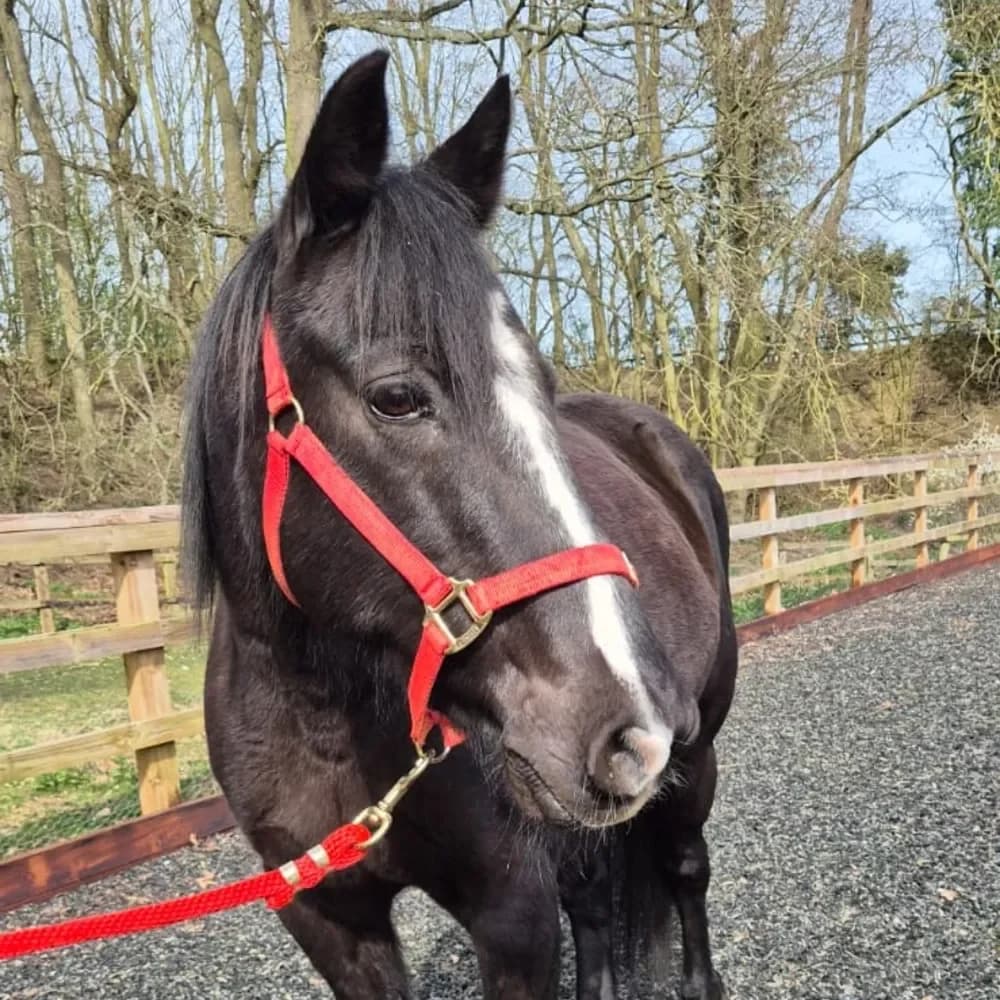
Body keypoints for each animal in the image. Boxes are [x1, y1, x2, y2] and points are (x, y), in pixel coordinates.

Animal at [182, 50, 737, 1000]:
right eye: (397, 397)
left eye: (541, 384)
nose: (636, 721)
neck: (326, 714)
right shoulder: (331, 921)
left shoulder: (510, 910)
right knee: (595, 903)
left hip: (695, 761)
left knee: (685, 870)